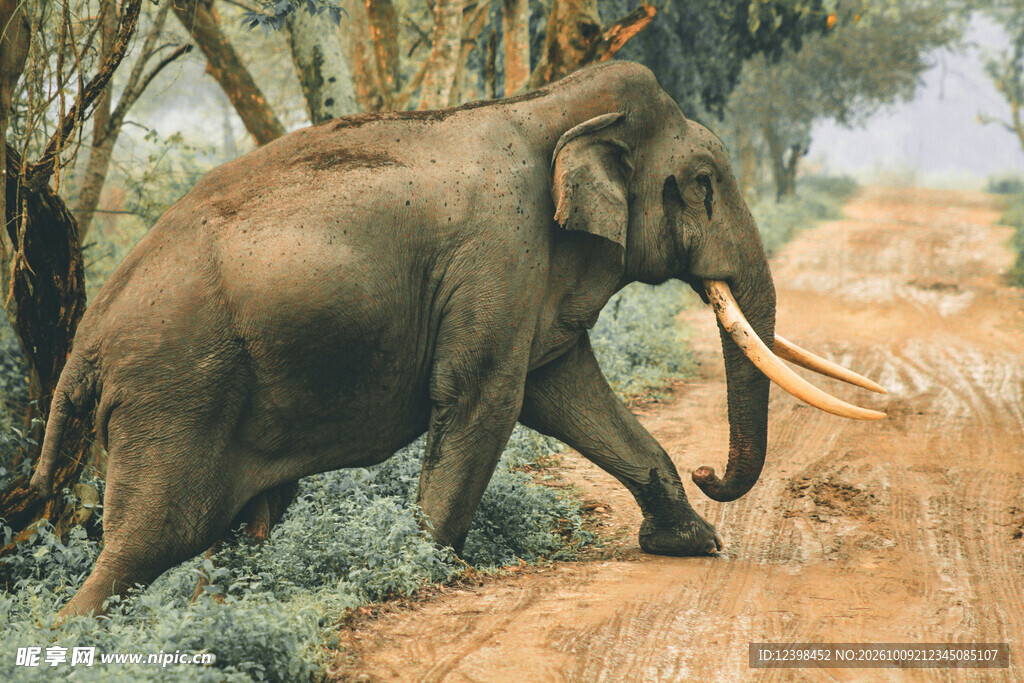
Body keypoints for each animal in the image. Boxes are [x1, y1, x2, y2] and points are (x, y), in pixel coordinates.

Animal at [31, 61, 885, 618]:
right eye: (702, 184)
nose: (712, 471)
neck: (549, 106)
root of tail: (87, 338)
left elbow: (558, 387)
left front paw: (691, 544)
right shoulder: (498, 250)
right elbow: (486, 398)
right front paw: (422, 573)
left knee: (219, 533)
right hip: (175, 390)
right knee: (149, 539)